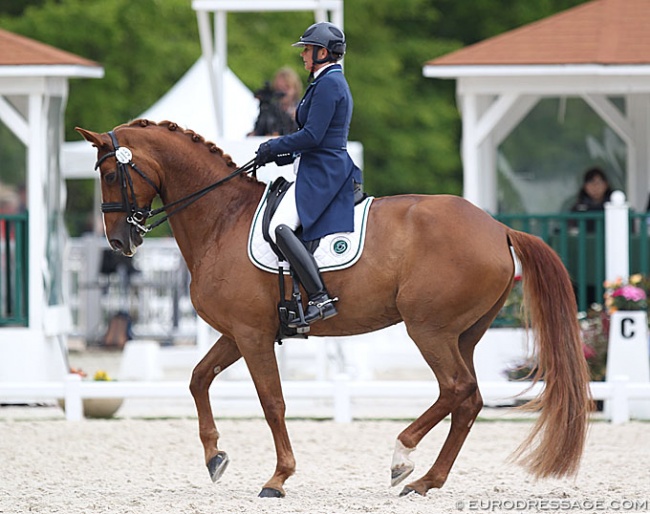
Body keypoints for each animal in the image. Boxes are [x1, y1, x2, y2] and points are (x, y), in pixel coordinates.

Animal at [77, 119, 592, 496]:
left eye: (110, 175)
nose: (119, 242)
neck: (222, 218)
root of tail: (498, 227)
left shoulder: (251, 335)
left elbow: (272, 402)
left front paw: (278, 477)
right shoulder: (239, 333)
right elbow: (198, 378)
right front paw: (214, 457)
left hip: (429, 329)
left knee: (456, 388)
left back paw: (402, 457)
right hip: (465, 333)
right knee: (469, 400)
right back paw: (428, 481)